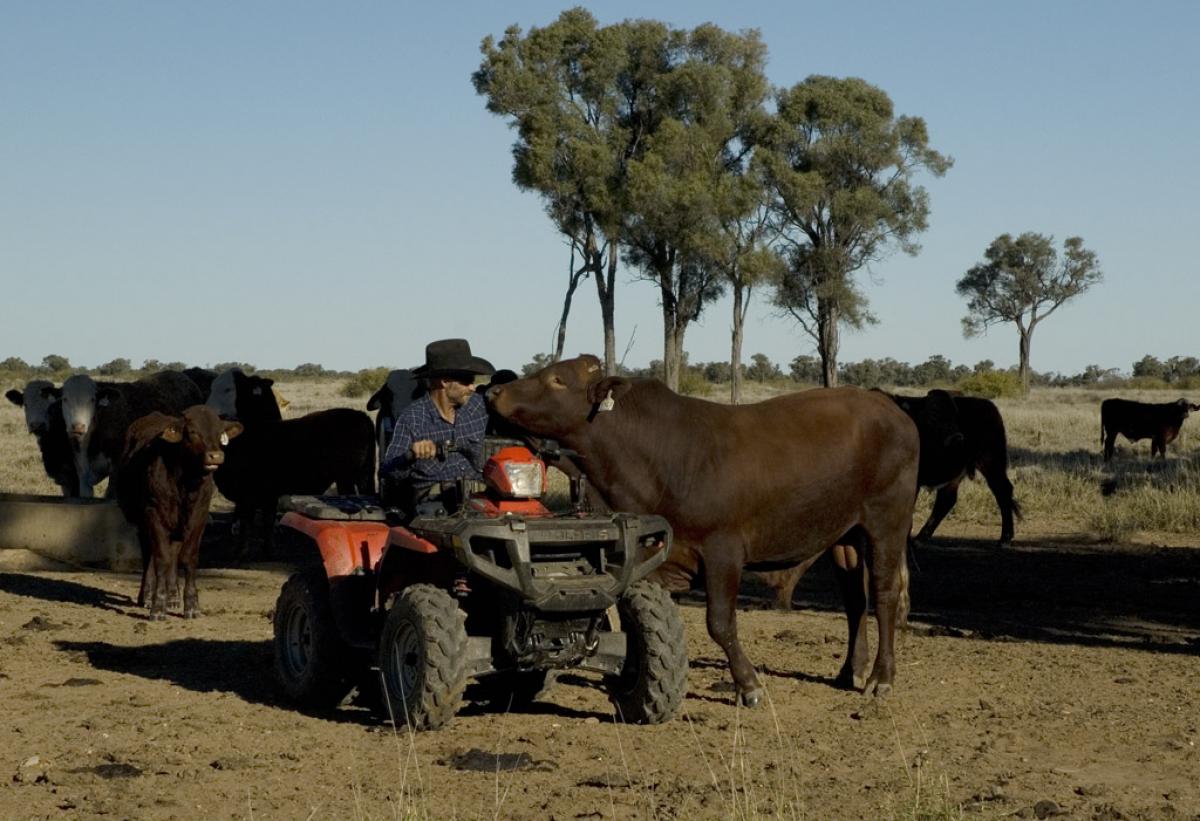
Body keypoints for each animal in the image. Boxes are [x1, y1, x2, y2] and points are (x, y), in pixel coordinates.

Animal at [117, 408, 243, 619]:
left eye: (220, 433)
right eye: (192, 432)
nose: (215, 456)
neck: (184, 483)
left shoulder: (199, 515)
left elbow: (187, 558)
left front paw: (191, 604)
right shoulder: (154, 514)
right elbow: (161, 558)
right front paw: (158, 605)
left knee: (174, 555)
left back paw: (173, 596)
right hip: (143, 523)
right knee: (149, 554)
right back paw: (147, 595)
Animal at [487, 355, 916, 710]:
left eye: (557, 380)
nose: (494, 392)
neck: (659, 454)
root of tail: (889, 408)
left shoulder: (723, 550)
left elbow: (720, 623)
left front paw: (748, 685)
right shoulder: (646, 557)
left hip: (886, 522)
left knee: (884, 594)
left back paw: (881, 678)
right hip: (846, 535)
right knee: (855, 601)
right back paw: (850, 671)